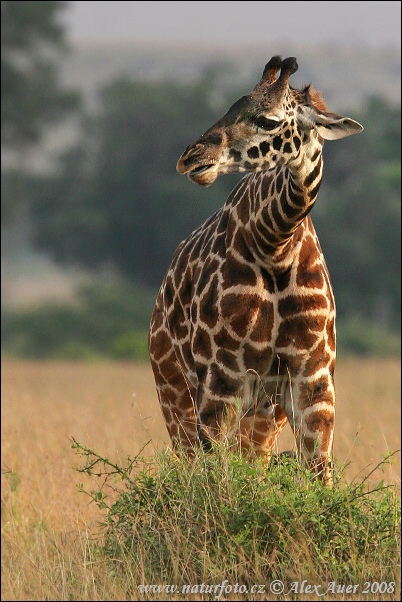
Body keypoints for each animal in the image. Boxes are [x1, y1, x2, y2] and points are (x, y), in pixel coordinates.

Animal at [148, 54, 364, 480]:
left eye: (268, 120)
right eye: (232, 105)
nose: (191, 158)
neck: (275, 244)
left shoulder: (313, 381)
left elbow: (320, 475)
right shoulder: (221, 380)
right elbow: (217, 481)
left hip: (264, 411)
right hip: (175, 394)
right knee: (190, 463)